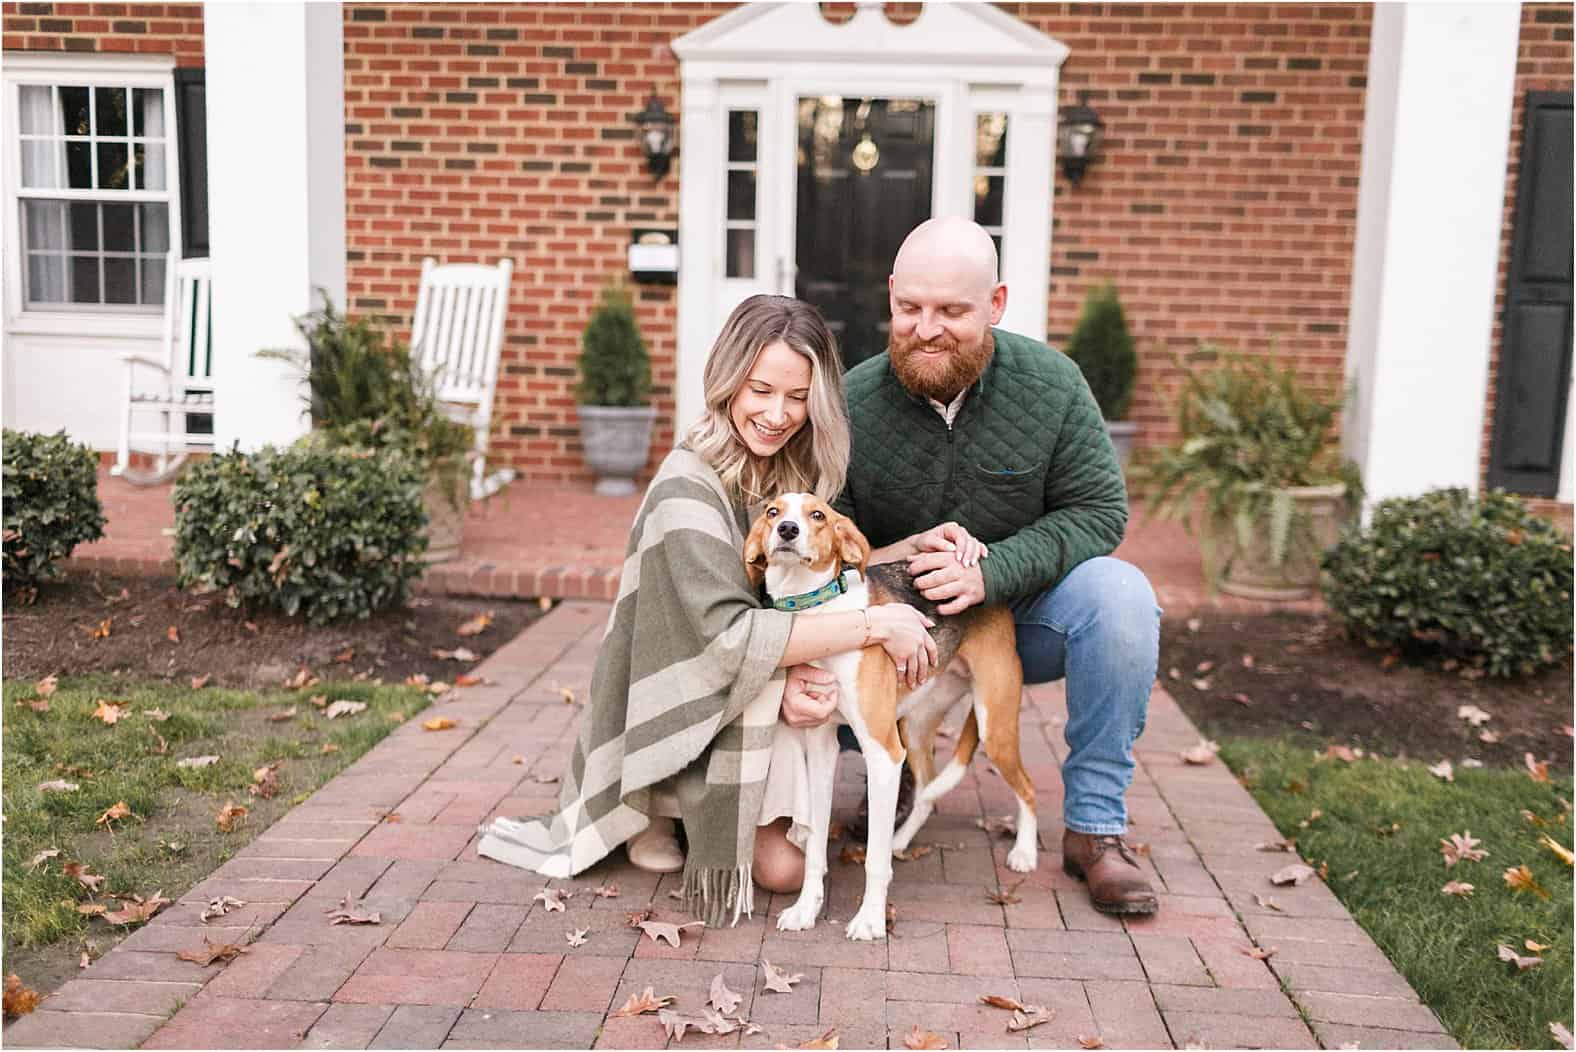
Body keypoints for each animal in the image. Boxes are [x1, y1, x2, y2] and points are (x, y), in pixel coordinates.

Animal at [747, 497, 1040, 938]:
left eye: (818, 515)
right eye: (772, 511)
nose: (787, 530)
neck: (824, 614)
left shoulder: (883, 753)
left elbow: (873, 860)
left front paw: (869, 919)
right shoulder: (822, 748)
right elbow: (815, 845)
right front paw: (805, 910)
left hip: (994, 728)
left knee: (1027, 787)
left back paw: (1024, 851)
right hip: (915, 731)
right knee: (928, 793)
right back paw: (901, 840)